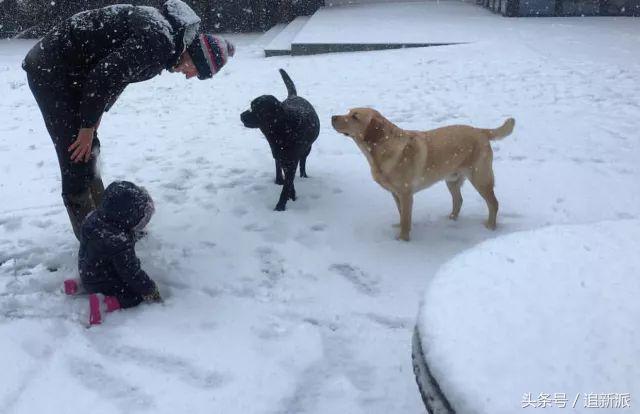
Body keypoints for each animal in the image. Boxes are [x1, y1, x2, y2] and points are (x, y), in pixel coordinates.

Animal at [240, 69, 320, 210]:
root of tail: (293, 96)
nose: (241, 115)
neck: (281, 129)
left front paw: (280, 207)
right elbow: (288, 181)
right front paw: (291, 196)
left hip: (306, 149)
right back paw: (278, 179)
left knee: (303, 161)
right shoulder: (284, 157)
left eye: (257, 108)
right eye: (251, 105)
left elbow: (288, 183)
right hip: (278, 152)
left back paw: (303, 176)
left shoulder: (291, 160)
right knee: (278, 162)